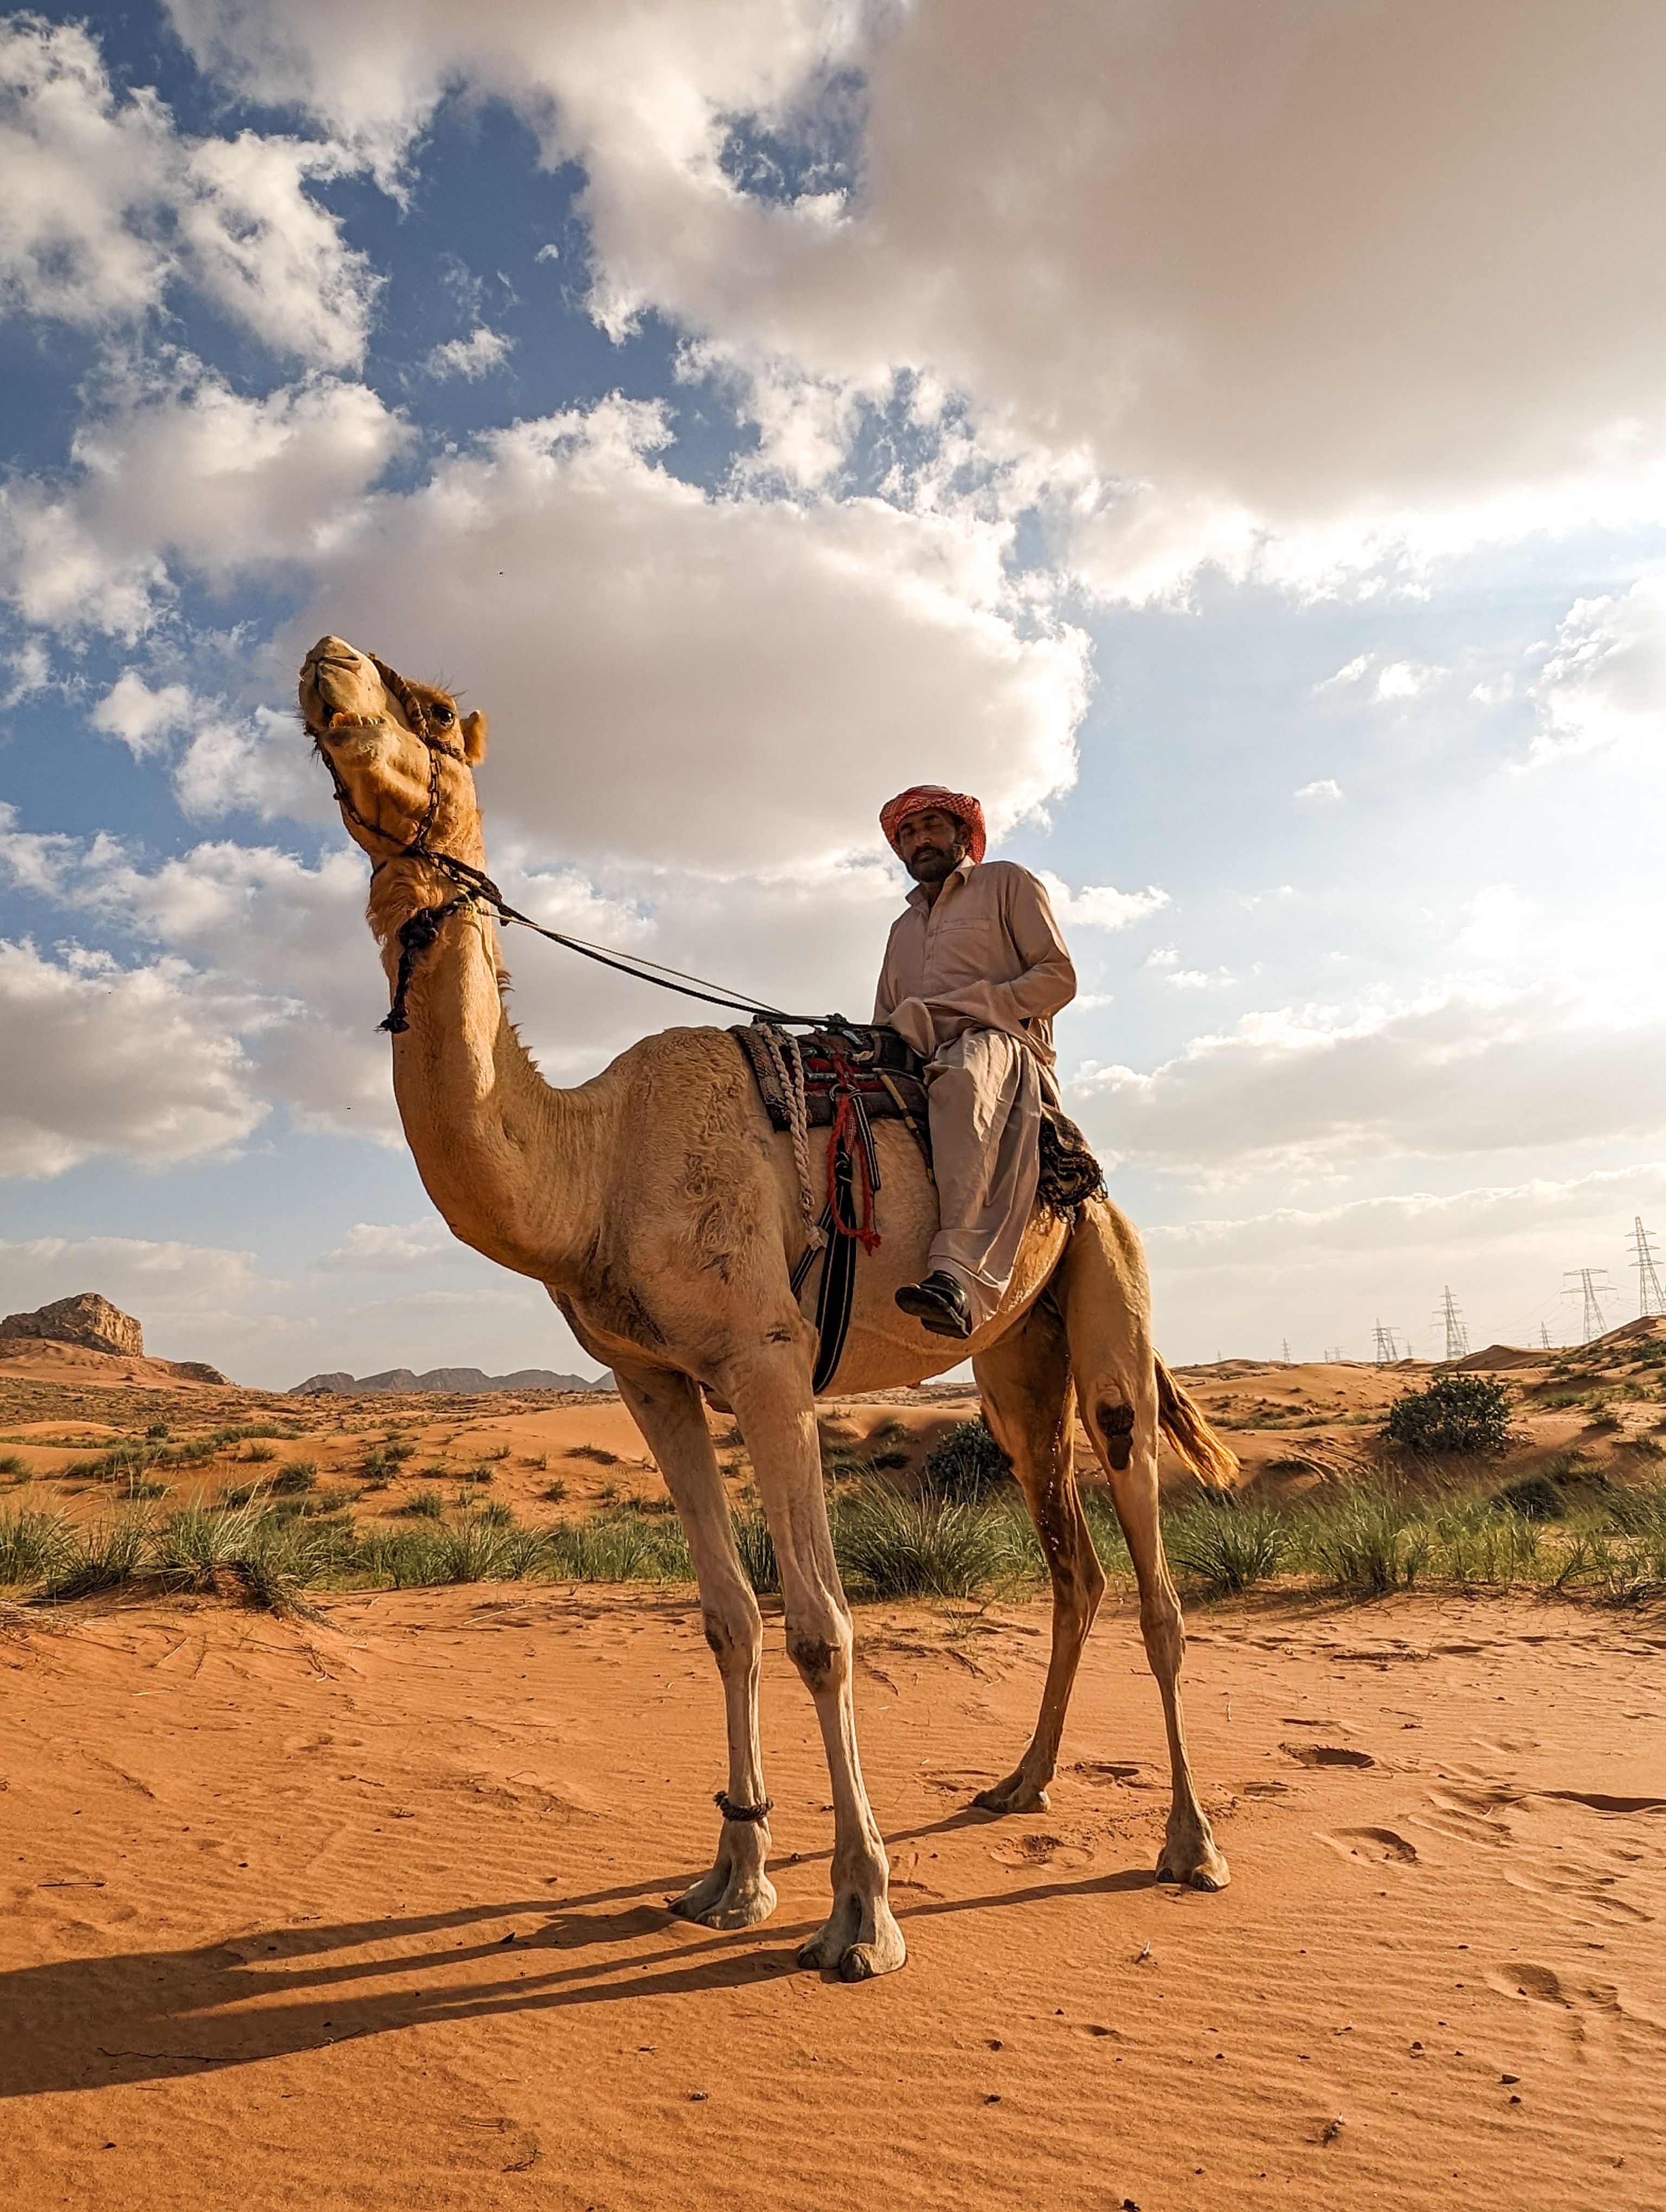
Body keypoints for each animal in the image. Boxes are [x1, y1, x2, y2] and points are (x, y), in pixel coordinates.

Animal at [298, 634, 1235, 1983]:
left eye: (427, 707)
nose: (325, 661)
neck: (595, 1166)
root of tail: (1084, 1164)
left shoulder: (770, 1359)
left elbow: (819, 1630)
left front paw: (860, 1915)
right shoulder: (652, 1377)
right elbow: (727, 1619)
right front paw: (733, 1878)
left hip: (1107, 1292)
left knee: (1153, 1569)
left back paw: (1191, 1844)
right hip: (1016, 1366)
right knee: (1075, 1566)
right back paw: (1021, 1784)